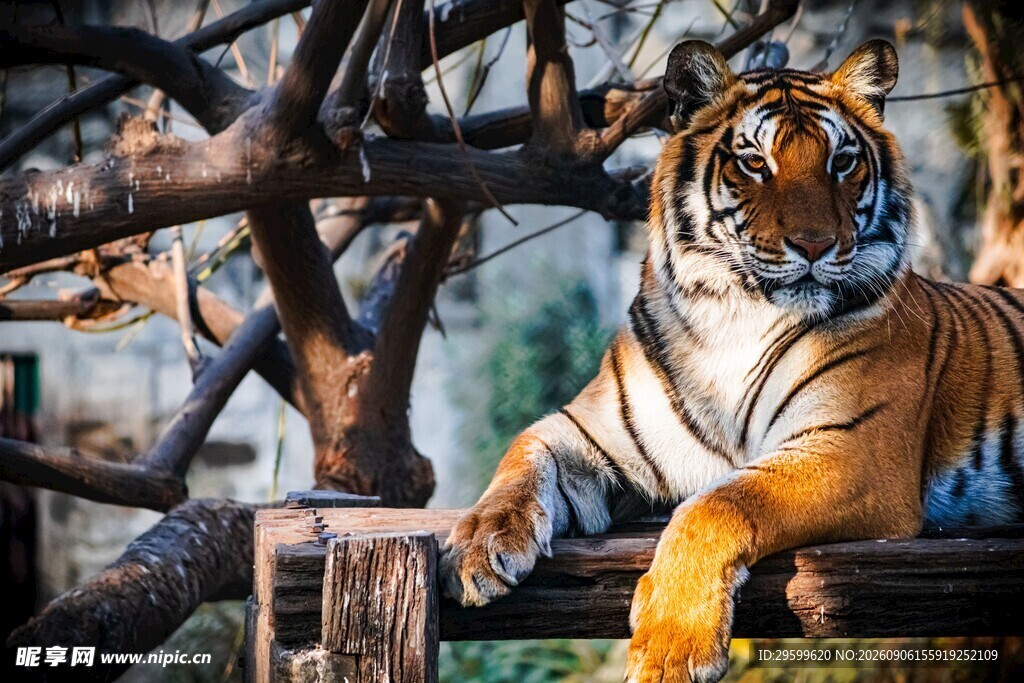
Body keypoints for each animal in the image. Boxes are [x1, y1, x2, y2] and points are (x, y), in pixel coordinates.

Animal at [439, 38, 1024, 682]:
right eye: (754, 163)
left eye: (842, 163)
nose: (815, 244)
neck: (733, 316)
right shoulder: (591, 430)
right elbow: (521, 455)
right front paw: (475, 546)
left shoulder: (852, 451)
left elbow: (717, 504)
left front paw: (671, 646)